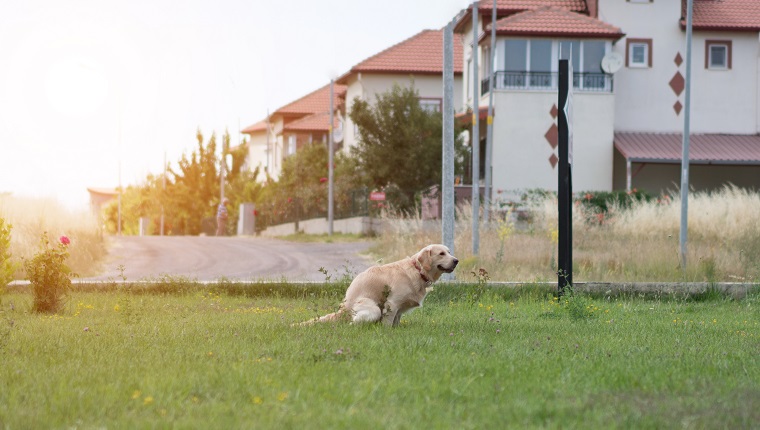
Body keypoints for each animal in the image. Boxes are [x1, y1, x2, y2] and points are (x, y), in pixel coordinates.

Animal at [302, 245, 458, 326]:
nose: (456, 260)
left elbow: (396, 320)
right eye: (441, 253)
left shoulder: (399, 309)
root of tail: (343, 307)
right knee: (353, 323)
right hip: (373, 309)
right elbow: (388, 323)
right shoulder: (392, 303)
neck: (417, 270)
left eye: (449, 252)